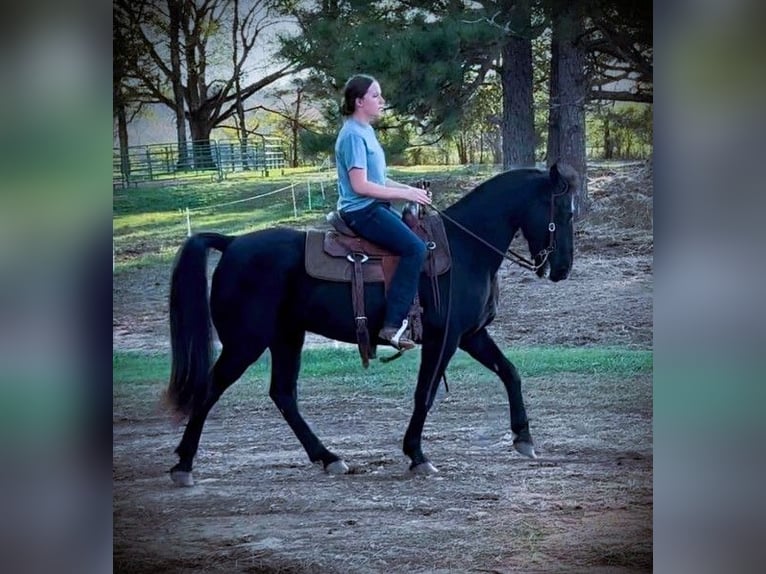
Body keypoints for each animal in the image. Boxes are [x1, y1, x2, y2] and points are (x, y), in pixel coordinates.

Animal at [165, 162, 580, 486]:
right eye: (565, 212)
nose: (561, 269)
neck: (466, 249)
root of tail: (232, 242)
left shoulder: (471, 335)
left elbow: (510, 372)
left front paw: (523, 438)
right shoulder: (444, 340)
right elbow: (425, 393)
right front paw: (417, 455)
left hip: (286, 337)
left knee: (283, 395)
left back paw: (329, 458)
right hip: (245, 343)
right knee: (211, 389)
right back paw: (183, 464)